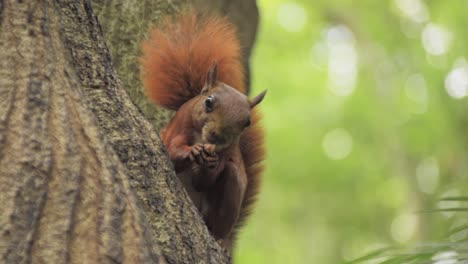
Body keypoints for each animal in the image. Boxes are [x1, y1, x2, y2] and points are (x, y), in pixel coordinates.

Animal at [139, 12, 266, 252]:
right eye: (208, 102)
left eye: (247, 122)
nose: (217, 136)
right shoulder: (180, 127)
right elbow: (172, 152)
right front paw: (191, 152)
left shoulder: (226, 151)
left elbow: (205, 181)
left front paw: (209, 164)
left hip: (229, 192)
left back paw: (217, 237)